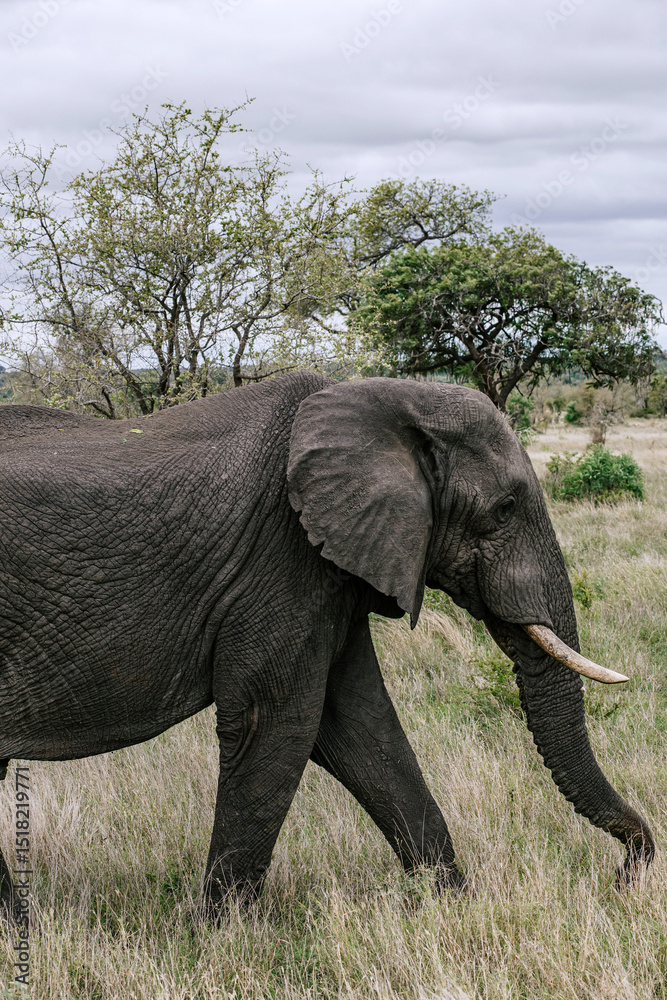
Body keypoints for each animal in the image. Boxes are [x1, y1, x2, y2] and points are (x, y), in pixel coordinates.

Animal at [0, 372, 654, 918]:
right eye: (504, 508)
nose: (625, 876)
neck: (387, 397)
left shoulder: (332, 570)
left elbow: (362, 727)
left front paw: (455, 910)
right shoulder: (281, 559)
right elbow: (279, 723)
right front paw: (219, 940)